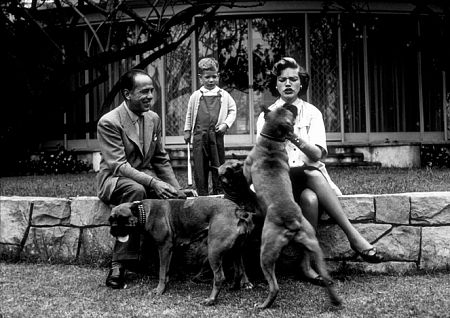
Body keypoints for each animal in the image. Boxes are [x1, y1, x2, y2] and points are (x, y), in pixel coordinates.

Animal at [108, 161, 255, 306]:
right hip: (235, 251)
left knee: (219, 277)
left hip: (214, 251)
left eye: (122, 219)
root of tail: (237, 210)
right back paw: (234, 287)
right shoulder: (170, 250)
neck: (143, 211)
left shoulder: (164, 248)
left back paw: (211, 299)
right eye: (110, 220)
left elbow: (162, 271)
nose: (113, 230)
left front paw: (159, 290)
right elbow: (167, 270)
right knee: (238, 270)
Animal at [243, 104, 342, 308]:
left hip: (266, 252)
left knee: (274, 287)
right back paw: (335, 299)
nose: (292, 105)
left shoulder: (247, 172)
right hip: (314, 246)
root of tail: (292, 221)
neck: (271, 142)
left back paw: (263, 305)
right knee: (326, 276)